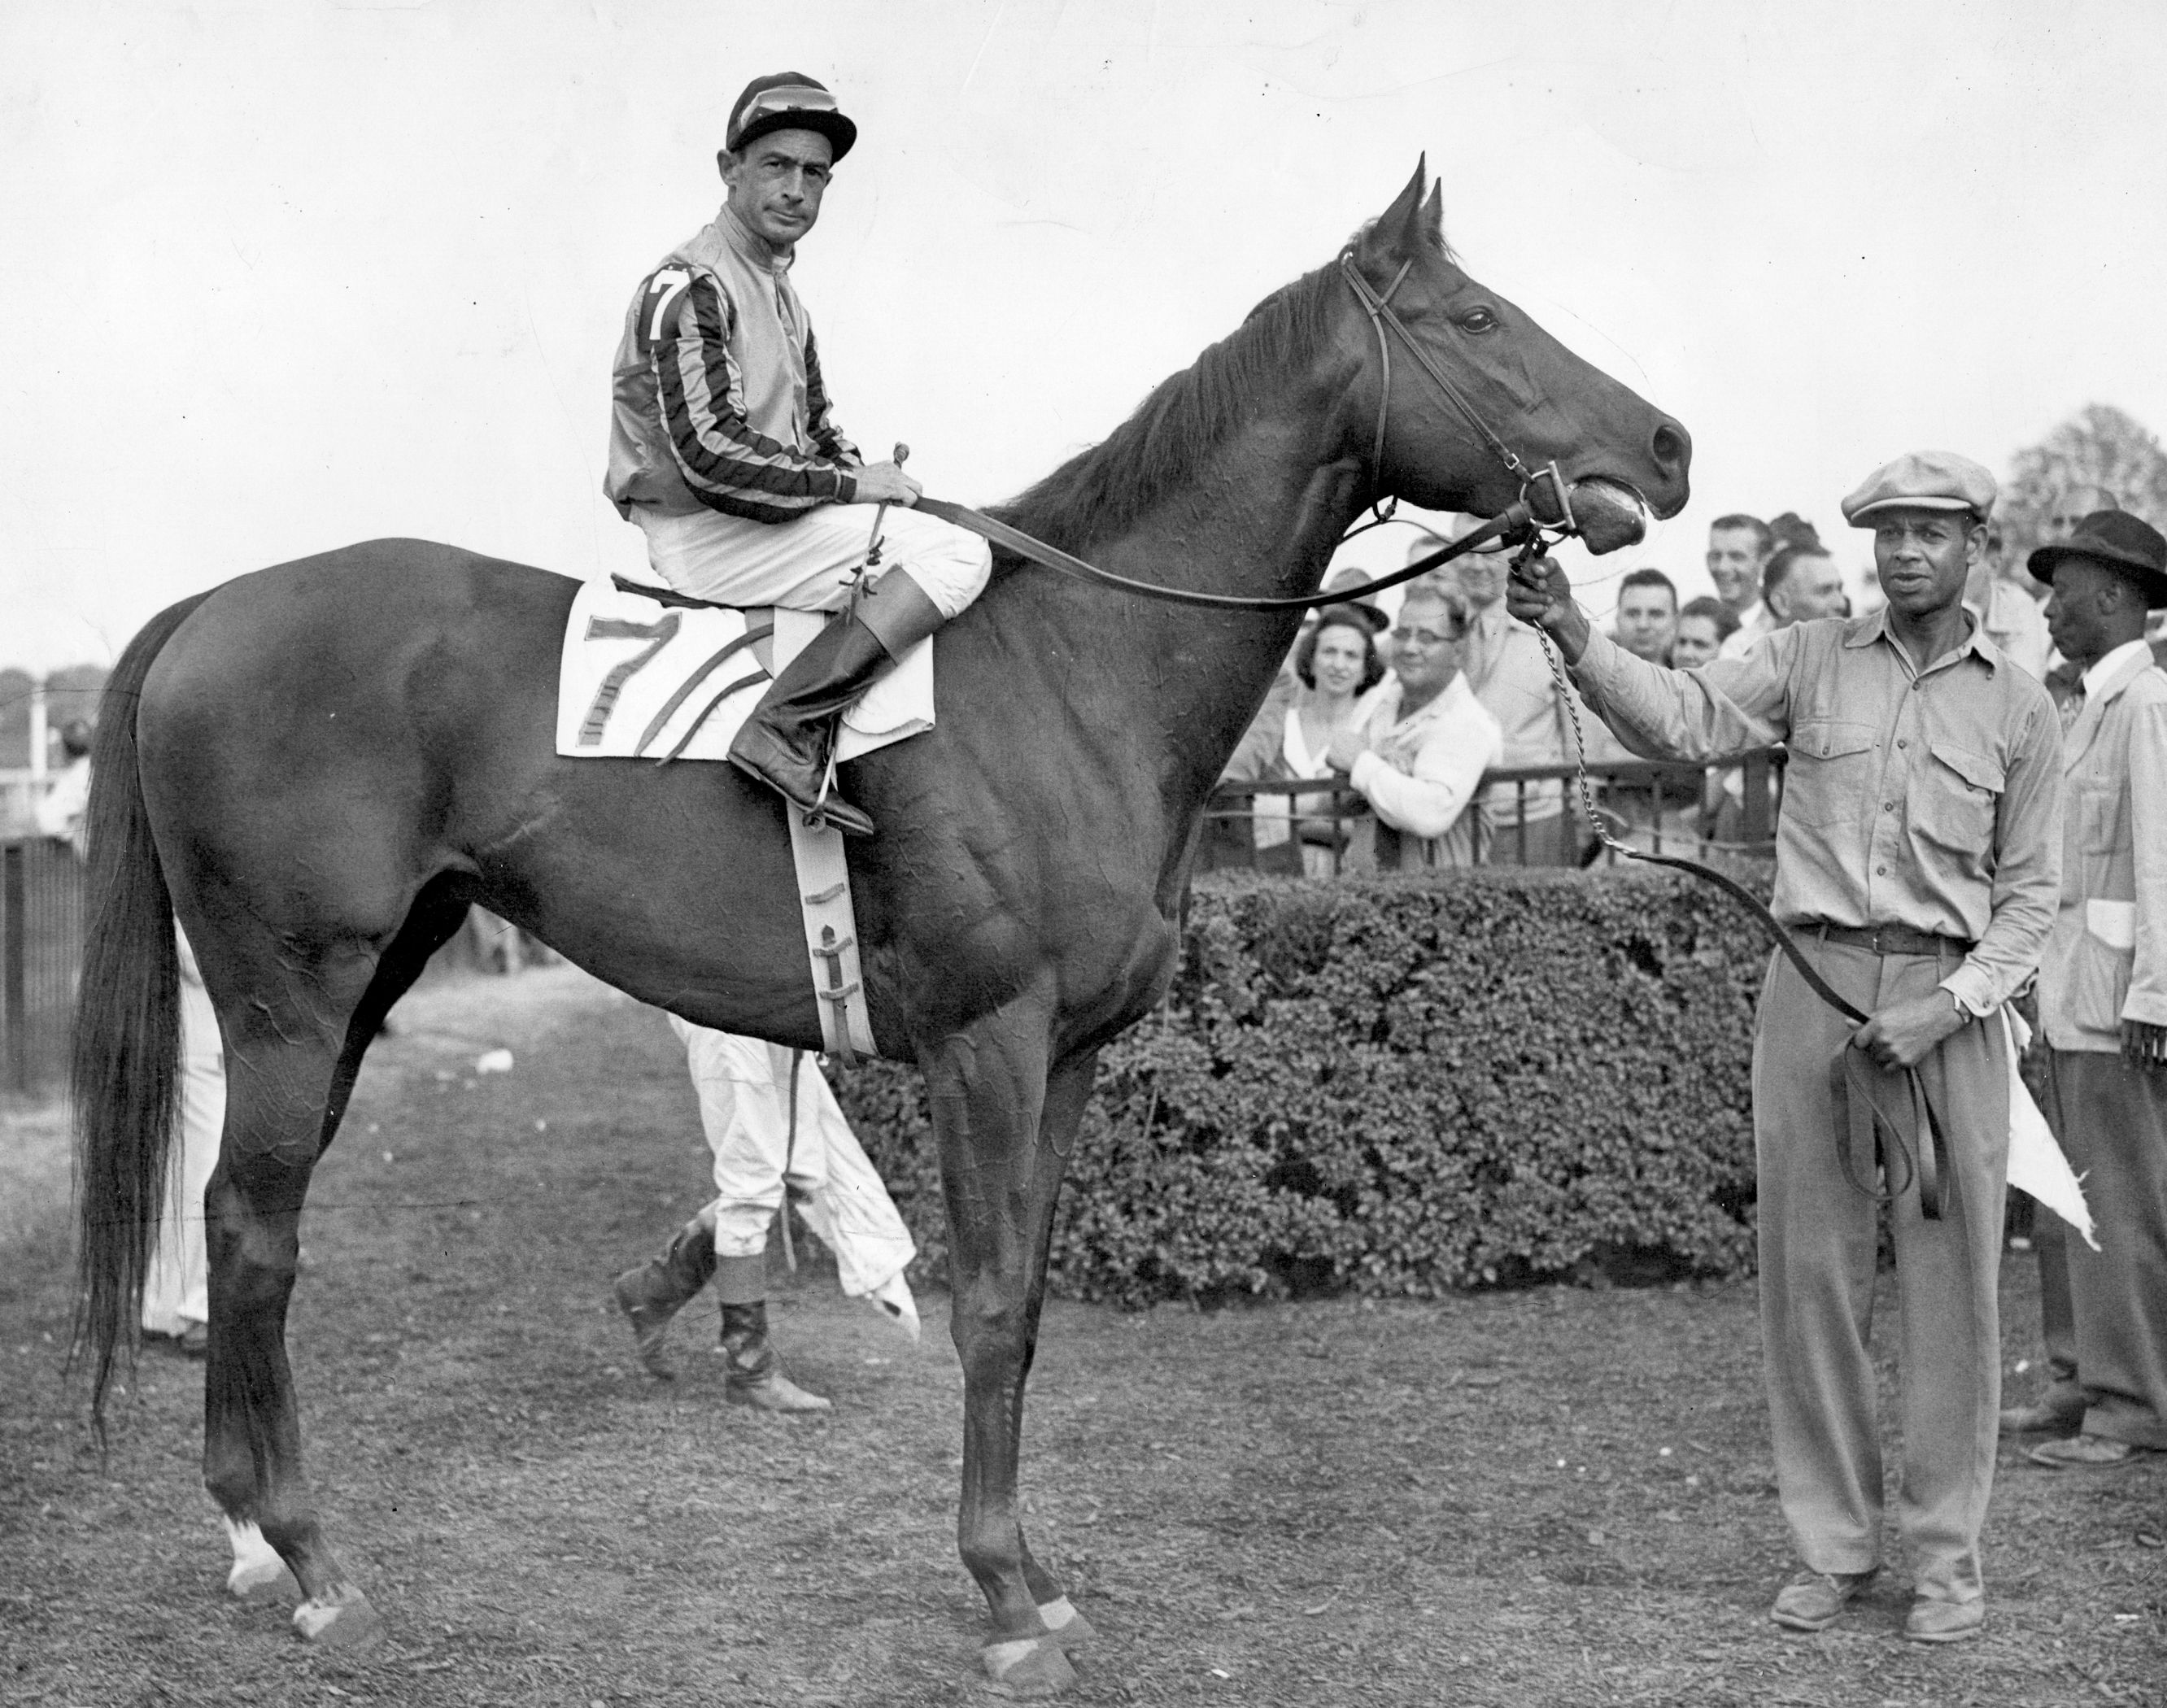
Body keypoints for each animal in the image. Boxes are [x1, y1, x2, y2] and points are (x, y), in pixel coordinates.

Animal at [72, 160, 1690, 1690]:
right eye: (1475, 317)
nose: (1668, 446)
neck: (1075, 667)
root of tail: (209, 606)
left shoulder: (1070, 1056)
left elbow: (1025, 1305)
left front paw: (1036, 1575)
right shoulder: (986, 1045)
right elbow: (984, 1309)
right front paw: (1002, 1600)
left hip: (365, 984)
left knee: (234, 1219)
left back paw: (253, 1535)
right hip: (290, 996)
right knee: (254, 1231)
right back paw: (307, 1552)